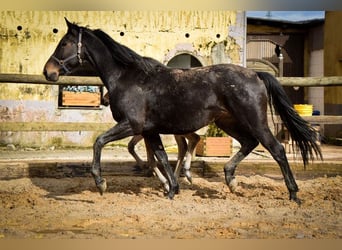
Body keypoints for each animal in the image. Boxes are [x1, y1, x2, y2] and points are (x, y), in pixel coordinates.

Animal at [43, 18, 324, 204]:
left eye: (65, 43)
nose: (49, 72)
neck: (128, 77)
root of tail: (256, 74)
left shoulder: (132, 125)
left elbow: (99, 142)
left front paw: (101, 183)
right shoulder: (150, 131)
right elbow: (161, 157)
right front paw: (171, 189)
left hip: (254, 120)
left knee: (275, 149)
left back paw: (293, 194)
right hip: (228, 122)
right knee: (248, 143)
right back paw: (230, 180)